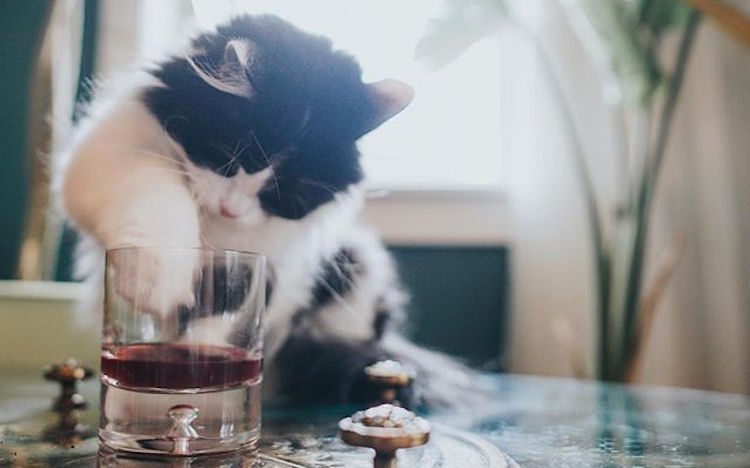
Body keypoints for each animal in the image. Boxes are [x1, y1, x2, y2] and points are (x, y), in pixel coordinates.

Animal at [56, 14, 474, 408]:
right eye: (226, 157)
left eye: (286, 195)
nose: (232, 209)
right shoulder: (106, 154)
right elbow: (158, 192)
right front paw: (159, 278)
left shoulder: (269, 260)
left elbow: (228, 310)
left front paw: (199, 372)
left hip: (356, 267)